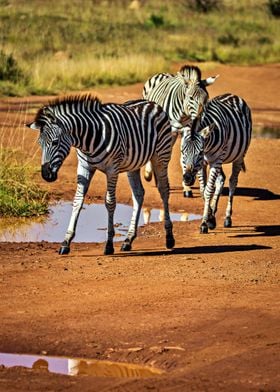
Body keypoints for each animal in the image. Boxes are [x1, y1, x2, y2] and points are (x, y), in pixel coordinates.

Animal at [26, 94, 175, 254]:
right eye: (40, 144)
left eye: (55, 142)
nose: (46, 175)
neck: (88, 140)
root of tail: (151, 103)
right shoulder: (84, 167)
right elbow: (77, 200)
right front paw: (66, 242)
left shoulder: (112, 169)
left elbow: (110, 202)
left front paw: (109, 244)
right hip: (133, 164)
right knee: (138, 194)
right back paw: (128, 240)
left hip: (161, 156)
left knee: (164, 190)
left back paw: (169, 238)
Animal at [142, 65, 219, 198]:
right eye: (191, 98)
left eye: (206, 99)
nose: (199, 119)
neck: (183, 113)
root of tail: (162, 73)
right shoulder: (171, 130)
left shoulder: (187, 130)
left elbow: (183, 155)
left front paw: (186, 187)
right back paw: (150, 174)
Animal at [180, 92, 253, 233]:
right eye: (182, 151)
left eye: (200, 152)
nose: (187, 178)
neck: (207, 146)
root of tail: (232, 95)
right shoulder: (203, 163)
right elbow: (203, 191)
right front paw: (210, 218)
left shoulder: (214, 160)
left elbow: (208, 190)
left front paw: (204, 223)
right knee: (221, 179)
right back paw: (214, 214)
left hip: (238, 155)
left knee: (232, 182)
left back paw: (228, 218)